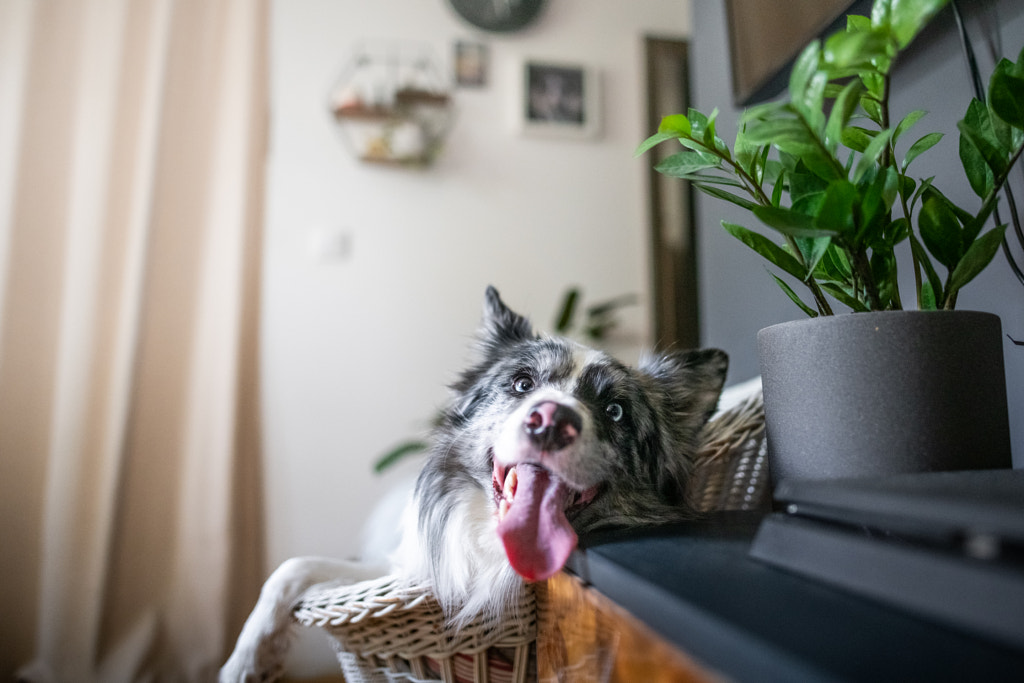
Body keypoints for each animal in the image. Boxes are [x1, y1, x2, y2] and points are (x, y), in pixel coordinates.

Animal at [221, 286, 729, 679]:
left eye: (615, 410)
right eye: (523, 384)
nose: (550, 421)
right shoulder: (400, 570)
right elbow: (293, 567)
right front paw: (244, 661)